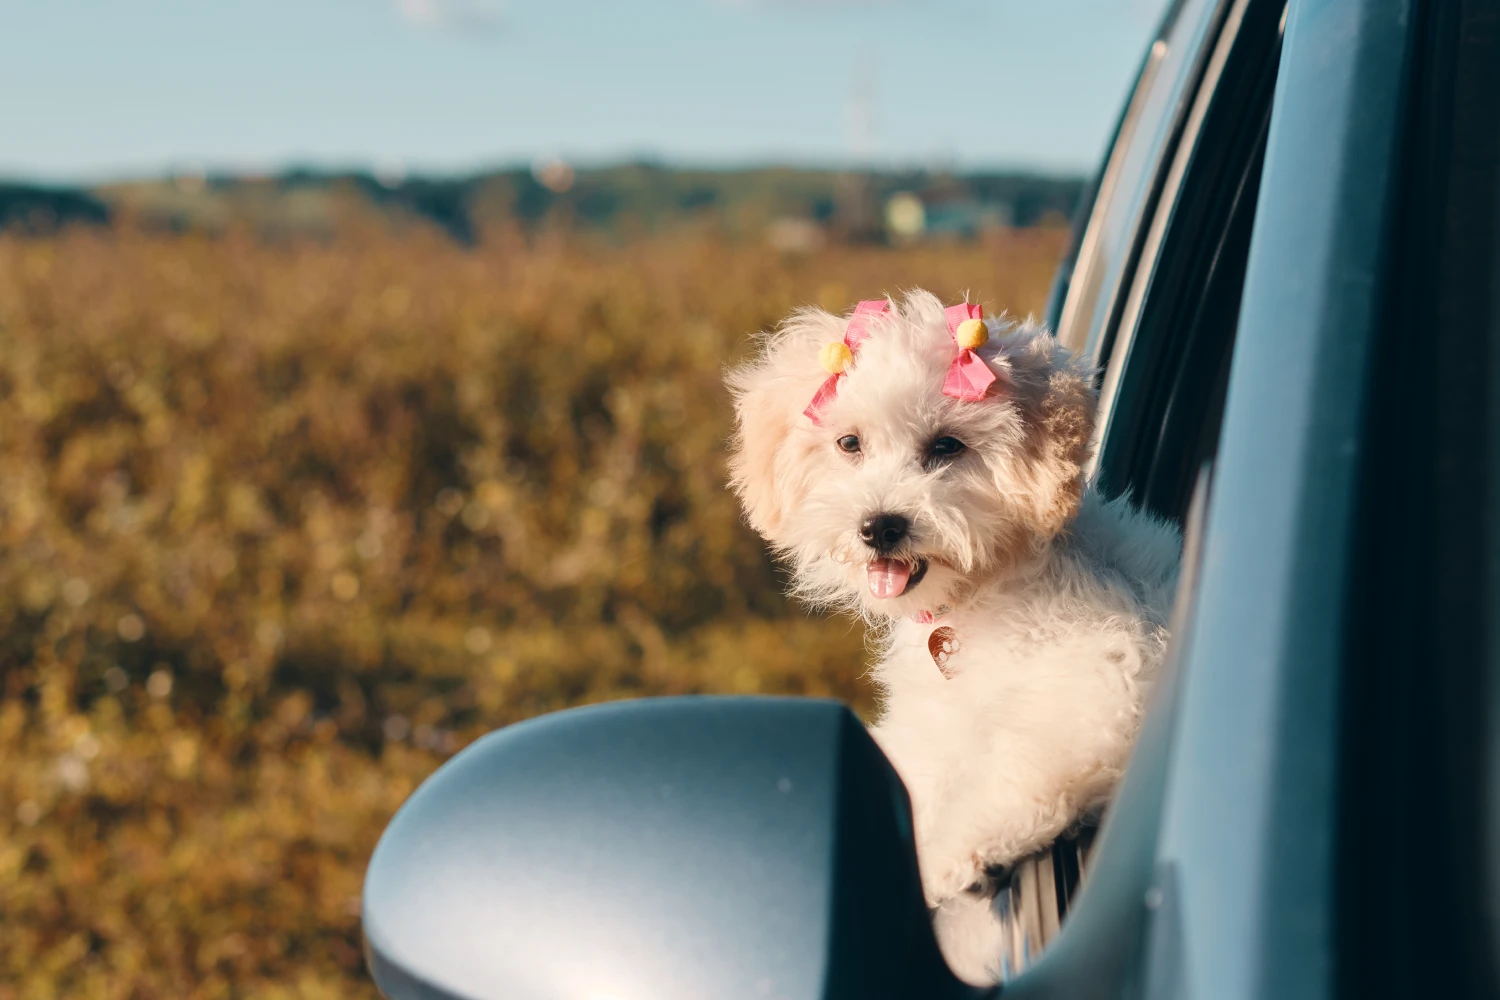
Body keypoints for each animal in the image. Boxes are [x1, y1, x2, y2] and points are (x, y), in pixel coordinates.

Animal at [726, 289, 1182, 983]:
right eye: (849, 442)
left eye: (947, 445)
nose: (880, 525)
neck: (985, 590)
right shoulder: (931, 722)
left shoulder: (1109, 680)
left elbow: (1016, 767)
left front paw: (941, 854)